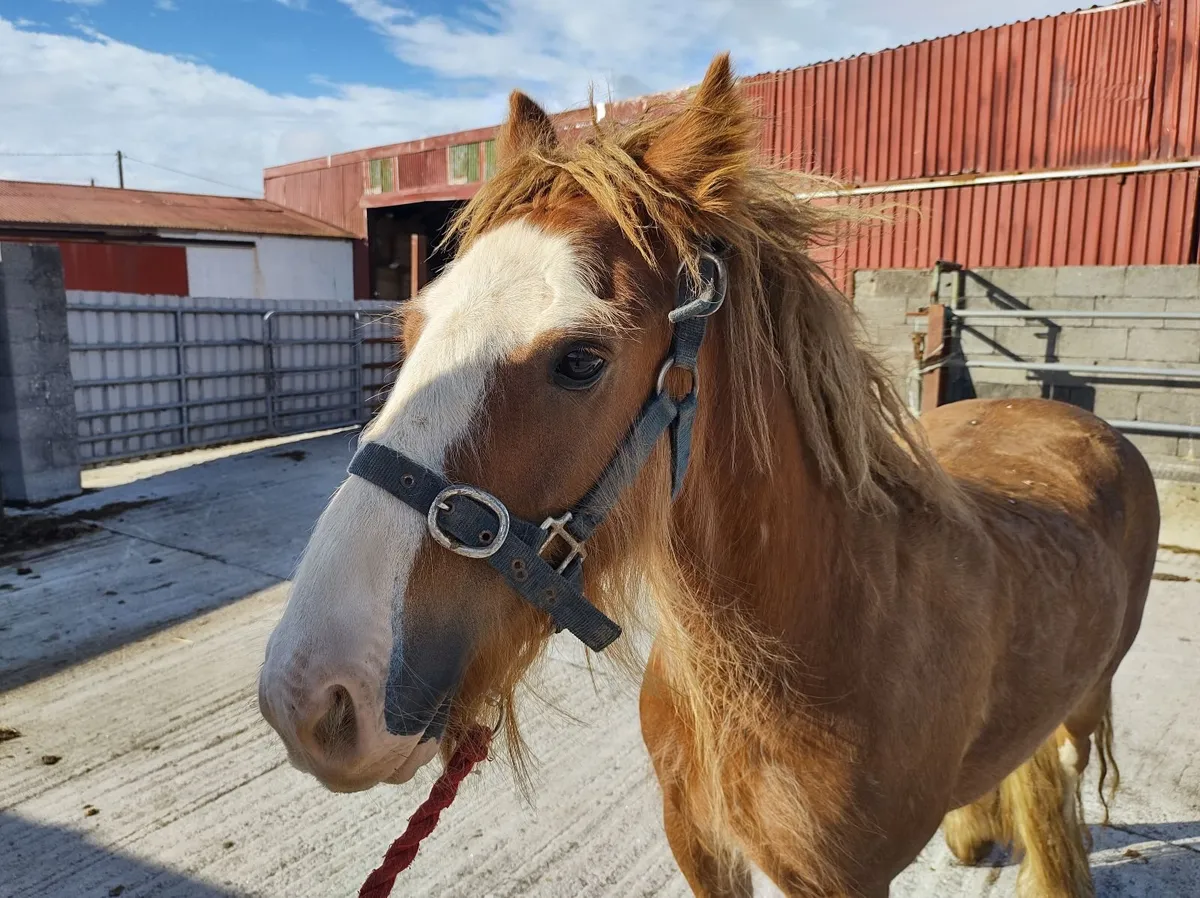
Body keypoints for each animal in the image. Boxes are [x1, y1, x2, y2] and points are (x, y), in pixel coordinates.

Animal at [257, 52, 1160, 897]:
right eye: (411, 330)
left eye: (581, 359)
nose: (312, 701)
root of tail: (1066, 418)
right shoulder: (696, 843)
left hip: (1085, 705)